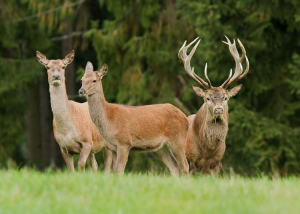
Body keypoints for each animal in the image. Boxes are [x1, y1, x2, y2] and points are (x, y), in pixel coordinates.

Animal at [178, 36, 248, 175]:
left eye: (226, 97)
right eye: (207, 98)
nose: (219, 109)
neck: (207, 151)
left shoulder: (217, 163)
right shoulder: (192, 161)